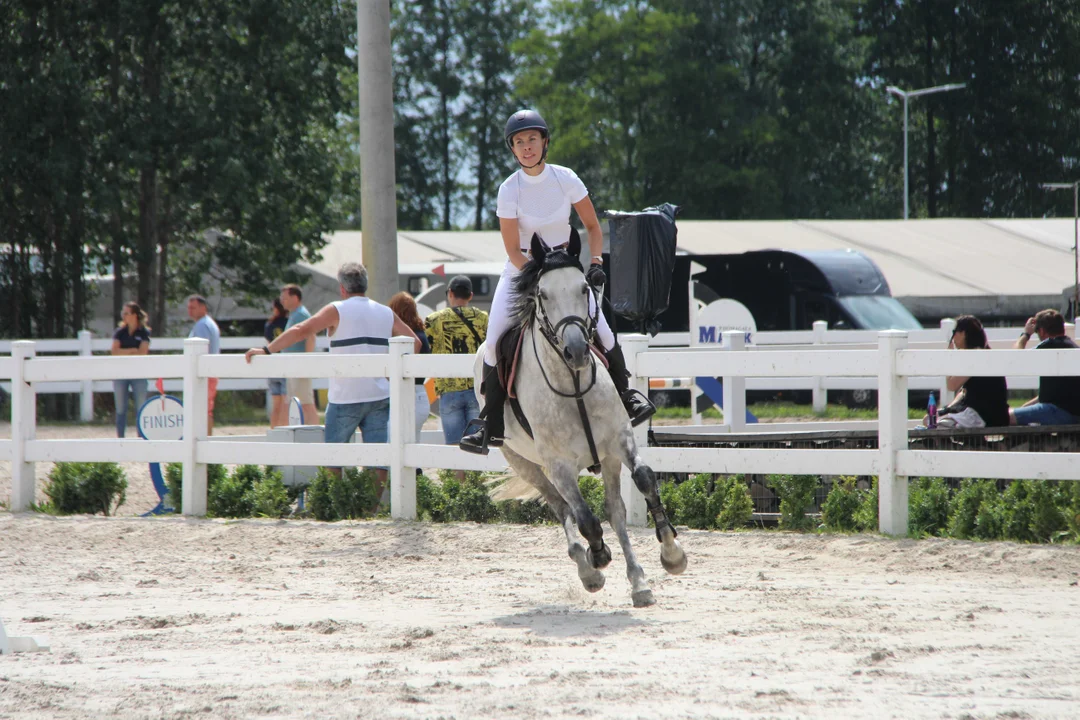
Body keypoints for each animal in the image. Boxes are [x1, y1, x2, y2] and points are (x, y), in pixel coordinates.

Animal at [473, 234, 682, 604]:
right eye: (542, 294)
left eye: (585, 288)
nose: (578, 352)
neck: (571, 379)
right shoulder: (558, 465)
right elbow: (585, 519)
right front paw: (598, 556)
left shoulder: (619, 439)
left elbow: (644, 479)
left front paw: (671, 552)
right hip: (524, 462)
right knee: (563, 509)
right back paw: (588, 570)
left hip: (606, 460)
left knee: (615, 511)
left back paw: (638, 581)